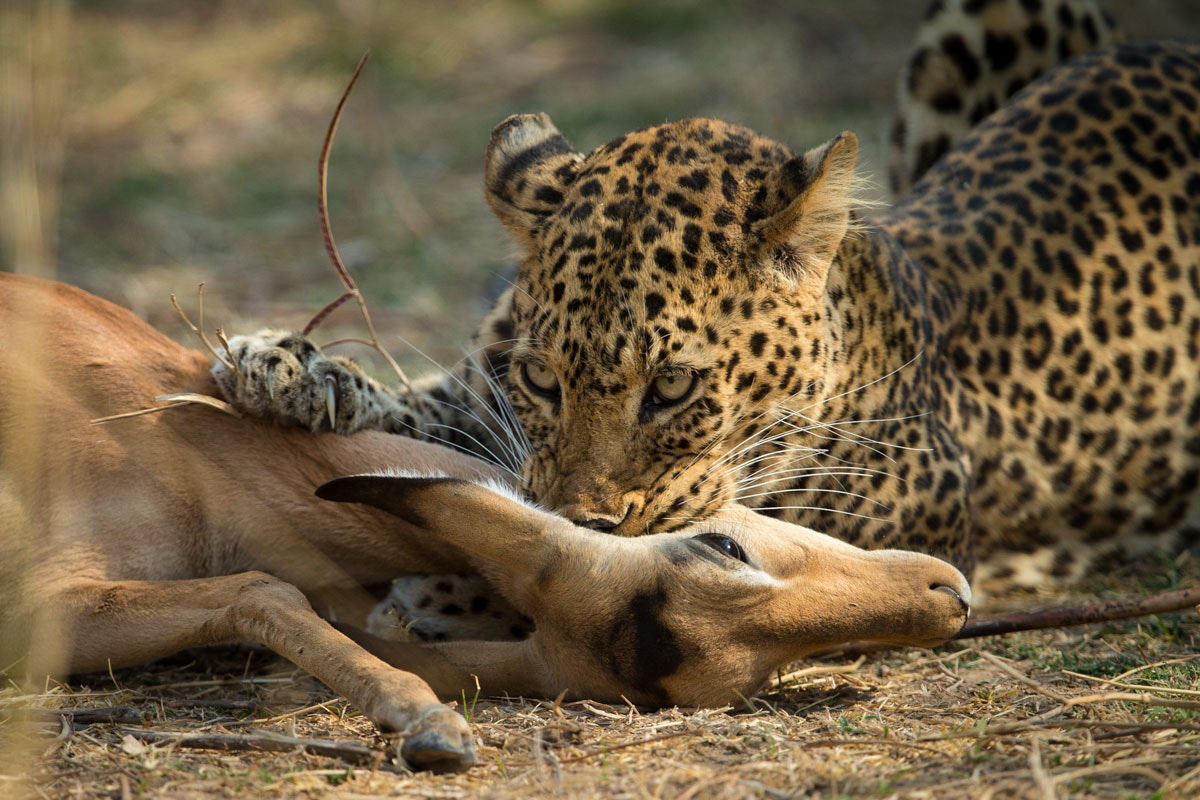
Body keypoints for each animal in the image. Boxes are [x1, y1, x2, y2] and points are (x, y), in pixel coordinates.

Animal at [216, 35, 1200, 606]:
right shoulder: (482, 389)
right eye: (541, 379)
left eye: (675, 387)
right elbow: (427, 411)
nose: (583, 518)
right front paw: (285, 367)